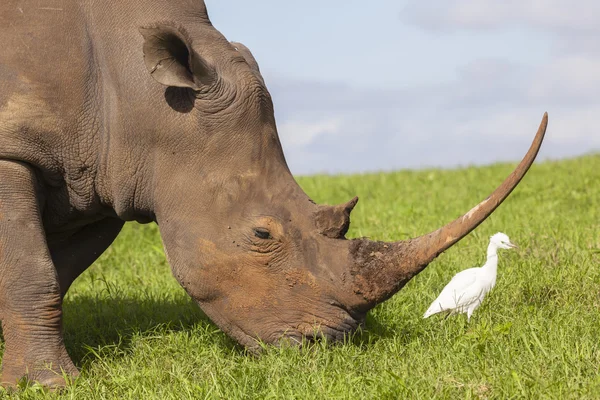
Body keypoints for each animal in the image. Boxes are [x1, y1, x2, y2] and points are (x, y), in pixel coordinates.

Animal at [0, 0, 548, 388]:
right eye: (261, 234)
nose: (326, 345)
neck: (144, 96)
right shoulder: (16, 151)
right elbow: (34, 272)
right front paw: (53, 384)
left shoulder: (103, 176)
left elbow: (55, 272)